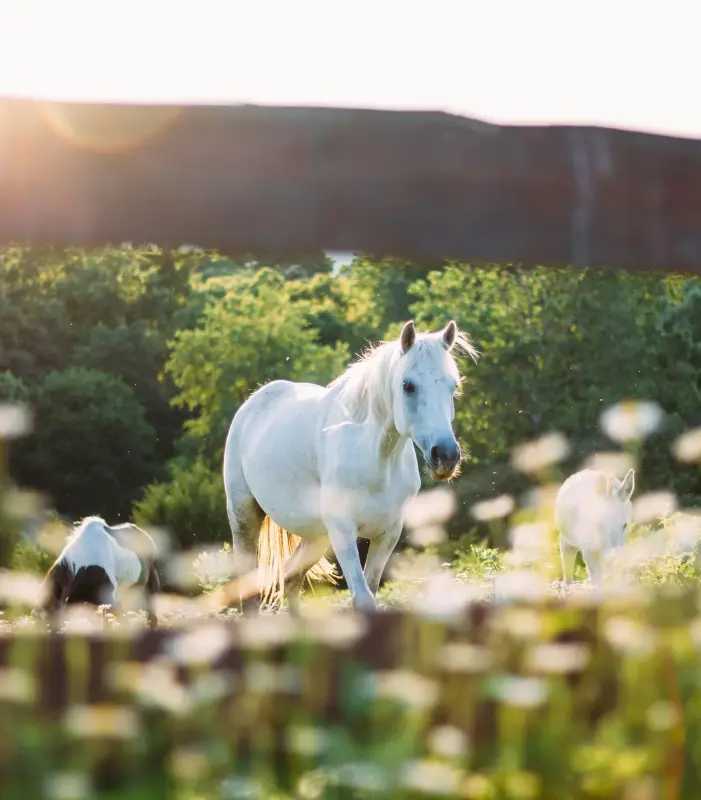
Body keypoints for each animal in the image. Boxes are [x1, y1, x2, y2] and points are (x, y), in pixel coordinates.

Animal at [223, 318, 476, 612]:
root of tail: (253, 403)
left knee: (291, 578)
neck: (375, 461)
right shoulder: (343, 531)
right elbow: (363, 598)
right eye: (408, 386)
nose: (445, 455)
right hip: (244, 517)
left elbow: (371, 590)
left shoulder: (388, 534)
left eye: (453, 386)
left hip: (317, 537)